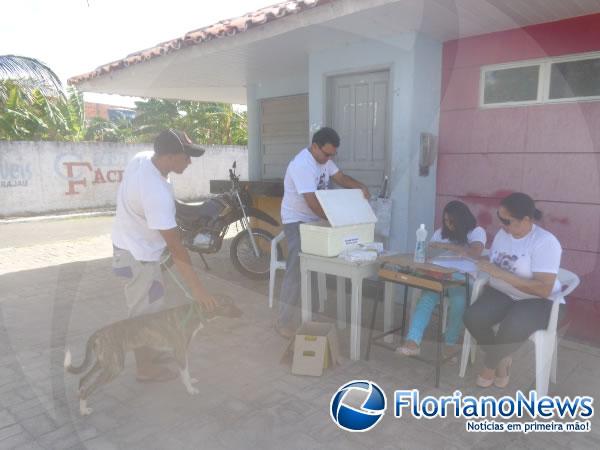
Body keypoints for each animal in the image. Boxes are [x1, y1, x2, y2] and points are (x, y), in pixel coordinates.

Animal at [65, 296, 241, 414]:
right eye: (229, 304)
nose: (243, 312)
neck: (194, 313)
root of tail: (98, 333)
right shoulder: (180, 352)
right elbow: (185, 373)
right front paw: (190, 389)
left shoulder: (180, 353)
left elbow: (185, 373)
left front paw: (190, 382)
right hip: (114, 367)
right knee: (88, 388)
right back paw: (84, 409)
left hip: (104, 363)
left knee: (83, 379)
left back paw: (79, 395)